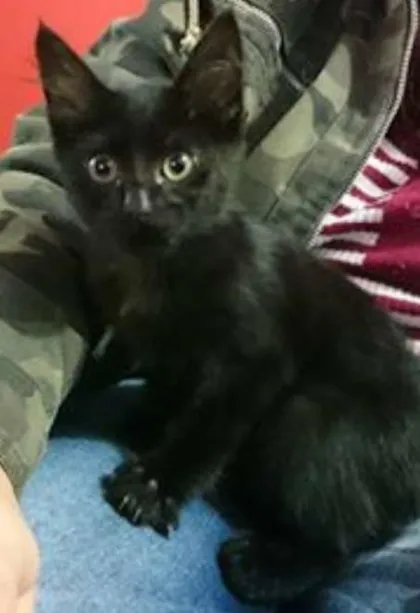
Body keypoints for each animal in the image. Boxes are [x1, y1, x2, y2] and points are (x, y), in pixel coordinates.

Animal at [36, 12, 420, 605]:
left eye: (177, 165)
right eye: (102, 167)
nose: (138, 207)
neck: (160, 271)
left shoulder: (259, 356)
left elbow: (213, 422)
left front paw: (152, 486)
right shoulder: (133, 333)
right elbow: (111, 364)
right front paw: (81, 400)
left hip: (307, 418)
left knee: (343, 542)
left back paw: (265, 567)